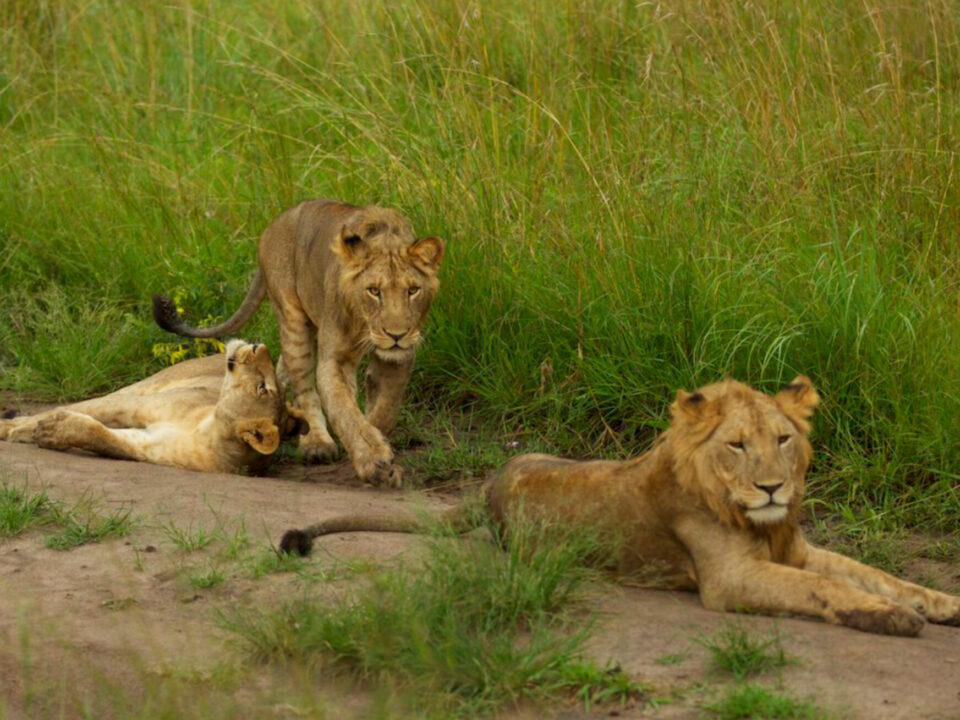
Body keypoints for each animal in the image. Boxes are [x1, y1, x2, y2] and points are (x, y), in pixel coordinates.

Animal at [0, 340, 303, 474]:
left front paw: (52, 431)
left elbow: (101, 436)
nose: (258, 345)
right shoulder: (134, 406)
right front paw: (13, 428)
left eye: (262, 388)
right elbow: (81, 410)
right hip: (144, 386)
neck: (208, 429)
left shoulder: (147, 446)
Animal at [153, 199, 443, 486]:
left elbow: (385, 407)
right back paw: (316, 443)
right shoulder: (334, 359)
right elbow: (344, 410)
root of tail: (273, 225)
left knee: (282, 369)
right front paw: (371, 459)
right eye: (374, 291)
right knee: (303, 385)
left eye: (413, 290)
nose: (397, 335)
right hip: (293, 320)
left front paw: (379, 444)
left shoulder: (399, 357)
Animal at [278, 376, 960, 636]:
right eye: (738, 445)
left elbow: (875, 574)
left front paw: (940, 603)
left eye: (784, 439)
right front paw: (893, 617)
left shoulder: (799, 548)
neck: (765, 525)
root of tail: (493, 481)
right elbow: (827, 590)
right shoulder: (730, 578)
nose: (773, 489)